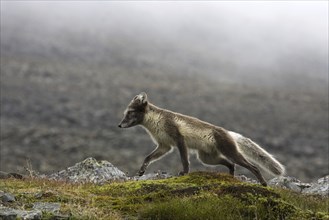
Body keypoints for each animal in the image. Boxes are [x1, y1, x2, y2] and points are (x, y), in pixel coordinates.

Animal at [118, 92, 284, 186]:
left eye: (130, 112)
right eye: (125, 113)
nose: (119, 125)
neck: (155, 122)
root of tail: (228, 132)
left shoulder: (179, 140)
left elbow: (184, 160)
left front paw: (184, 173)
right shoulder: (164, 146)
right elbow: (148, 157)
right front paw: (141, 171)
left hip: (229, 153)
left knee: (253, 167)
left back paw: (263, 183)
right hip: (207, 158)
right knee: (230, 164)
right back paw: (230, 177)